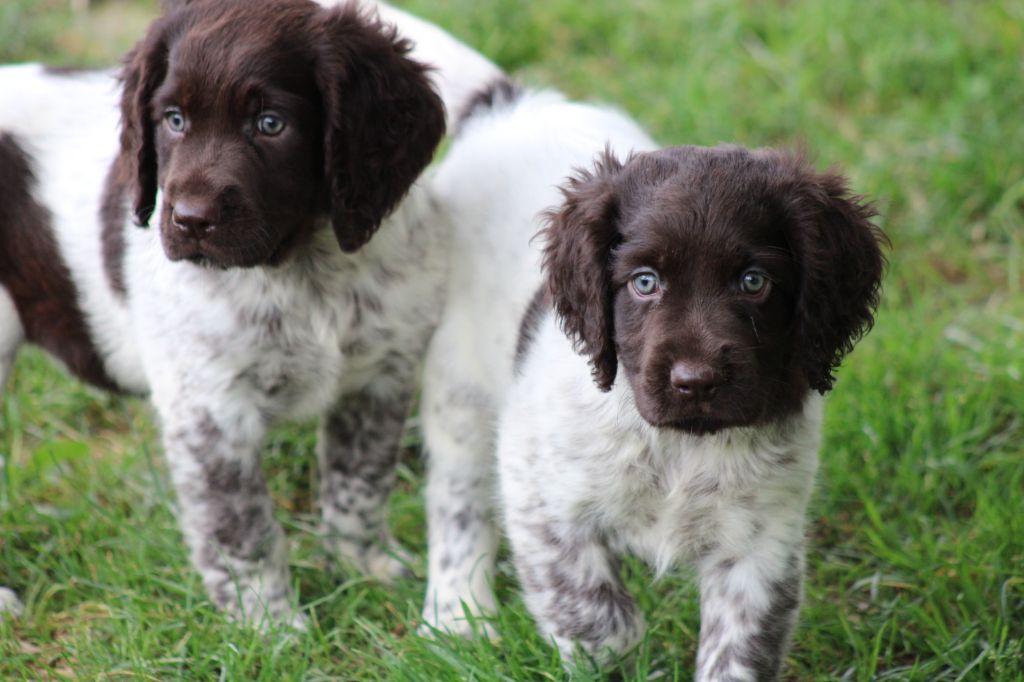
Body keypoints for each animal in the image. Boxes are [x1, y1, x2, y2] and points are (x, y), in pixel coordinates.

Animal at [0, 0, 501, 626]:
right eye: (174, 120)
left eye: (270, 124)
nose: (189, 221)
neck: (303, 268)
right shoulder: (209, 414)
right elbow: (242, 527)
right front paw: (271, 624)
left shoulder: (381, 377)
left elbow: (359, 482)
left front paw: (363, 566)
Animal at [419, 82, 884, 675]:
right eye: (644, 282)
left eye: (753, 281)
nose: (696, 381)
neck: (677, 446)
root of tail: (511, 104)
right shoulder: (539, 496)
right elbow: (596, 619)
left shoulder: (761, 542)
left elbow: (738, 652)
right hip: (459, 389)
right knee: (457, 503)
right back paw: (456, 620)